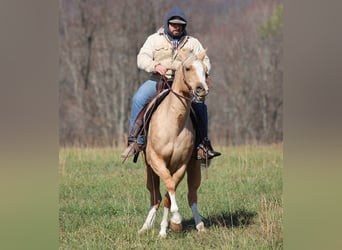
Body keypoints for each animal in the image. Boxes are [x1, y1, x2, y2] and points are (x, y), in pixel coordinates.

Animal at [138, 49, 208, 238]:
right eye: (188, 68)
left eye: (206, 71)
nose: (201, 89)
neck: (173, 124)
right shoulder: (156, 161)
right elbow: (168, 187)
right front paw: (174, 221)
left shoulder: (181, 164)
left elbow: (171, 191)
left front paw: (173, 224)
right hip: (149, 169)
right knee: (155, 197)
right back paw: (146, 226)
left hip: (194, 167)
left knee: (191, 195)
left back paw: (199, 225)